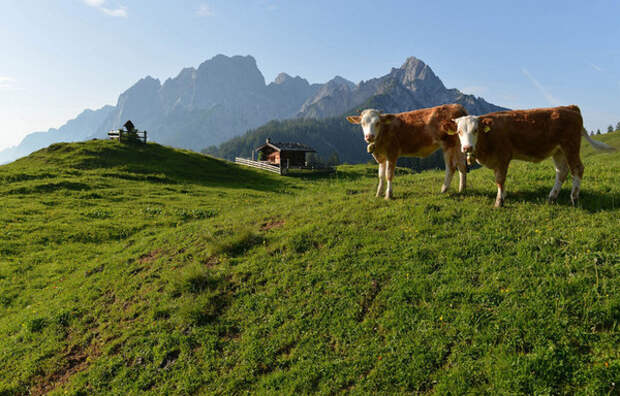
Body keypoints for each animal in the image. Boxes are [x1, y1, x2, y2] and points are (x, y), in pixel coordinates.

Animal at [450, 105, 616, 207]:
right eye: (459, 131)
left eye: (476, 130)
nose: (467, 148)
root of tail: (569, 107)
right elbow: (500, 181)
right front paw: (503, 196)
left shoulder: (503, 156)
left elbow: (500, 179)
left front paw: (499, 202)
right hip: (559, 151)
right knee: (561, 172)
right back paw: (552, 197)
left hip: (571, 146)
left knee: (577, 169)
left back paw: (574, 198)